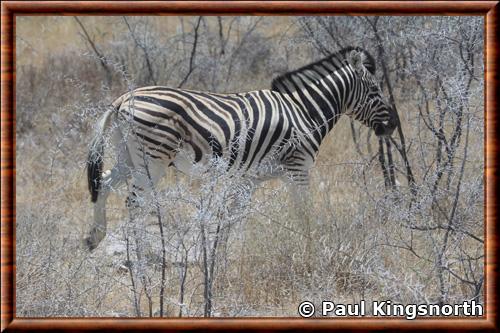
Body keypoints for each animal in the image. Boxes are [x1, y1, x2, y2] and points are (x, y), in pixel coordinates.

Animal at [86, 46, 398, 249]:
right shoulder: (298, 167)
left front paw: (221, 257)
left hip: (129, 157)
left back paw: (94, 238)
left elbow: (232, 218)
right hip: (153, 160)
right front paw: (312, 250)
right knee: (134, 202)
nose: (394, 124)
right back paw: (141, 259)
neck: (303, 111)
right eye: (374, 91)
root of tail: (122, 99)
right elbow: (304, 212)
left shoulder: (249, 179)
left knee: (104, 183)